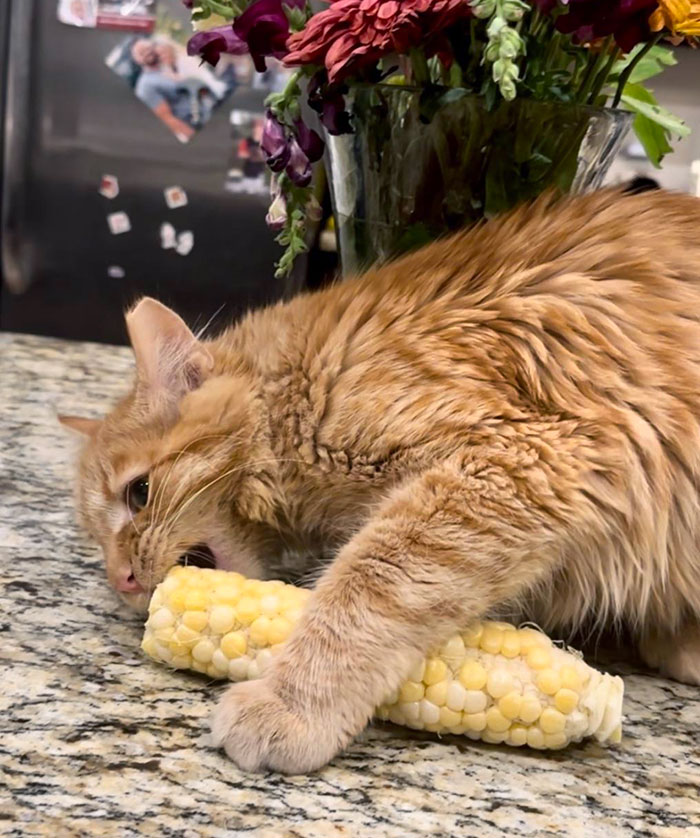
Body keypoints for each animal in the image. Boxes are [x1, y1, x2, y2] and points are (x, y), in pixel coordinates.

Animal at [61, 190, 700, 776]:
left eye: (138, 494)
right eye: (99, 539)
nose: (121, 580)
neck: (301, 381)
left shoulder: (517, 458)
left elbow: (363, 592)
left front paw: (290, 704)